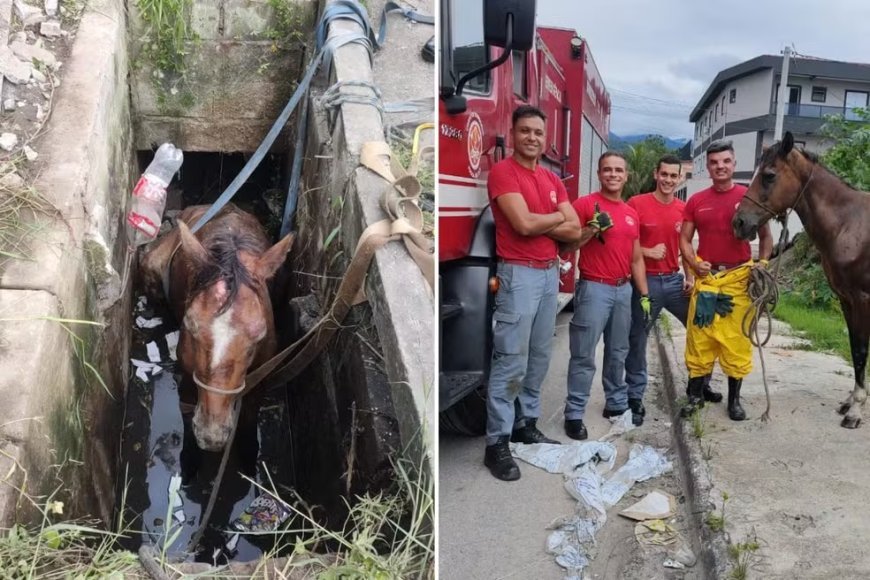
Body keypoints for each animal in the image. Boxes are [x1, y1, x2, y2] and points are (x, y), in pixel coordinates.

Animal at [736, 134, 870, 428]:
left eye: (769, 175)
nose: (738, 222)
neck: (850, 224)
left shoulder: (862, 300)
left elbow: (861, 350)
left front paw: (856, 410)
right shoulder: (846, 300)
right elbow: (854, 348)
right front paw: (849, 402)